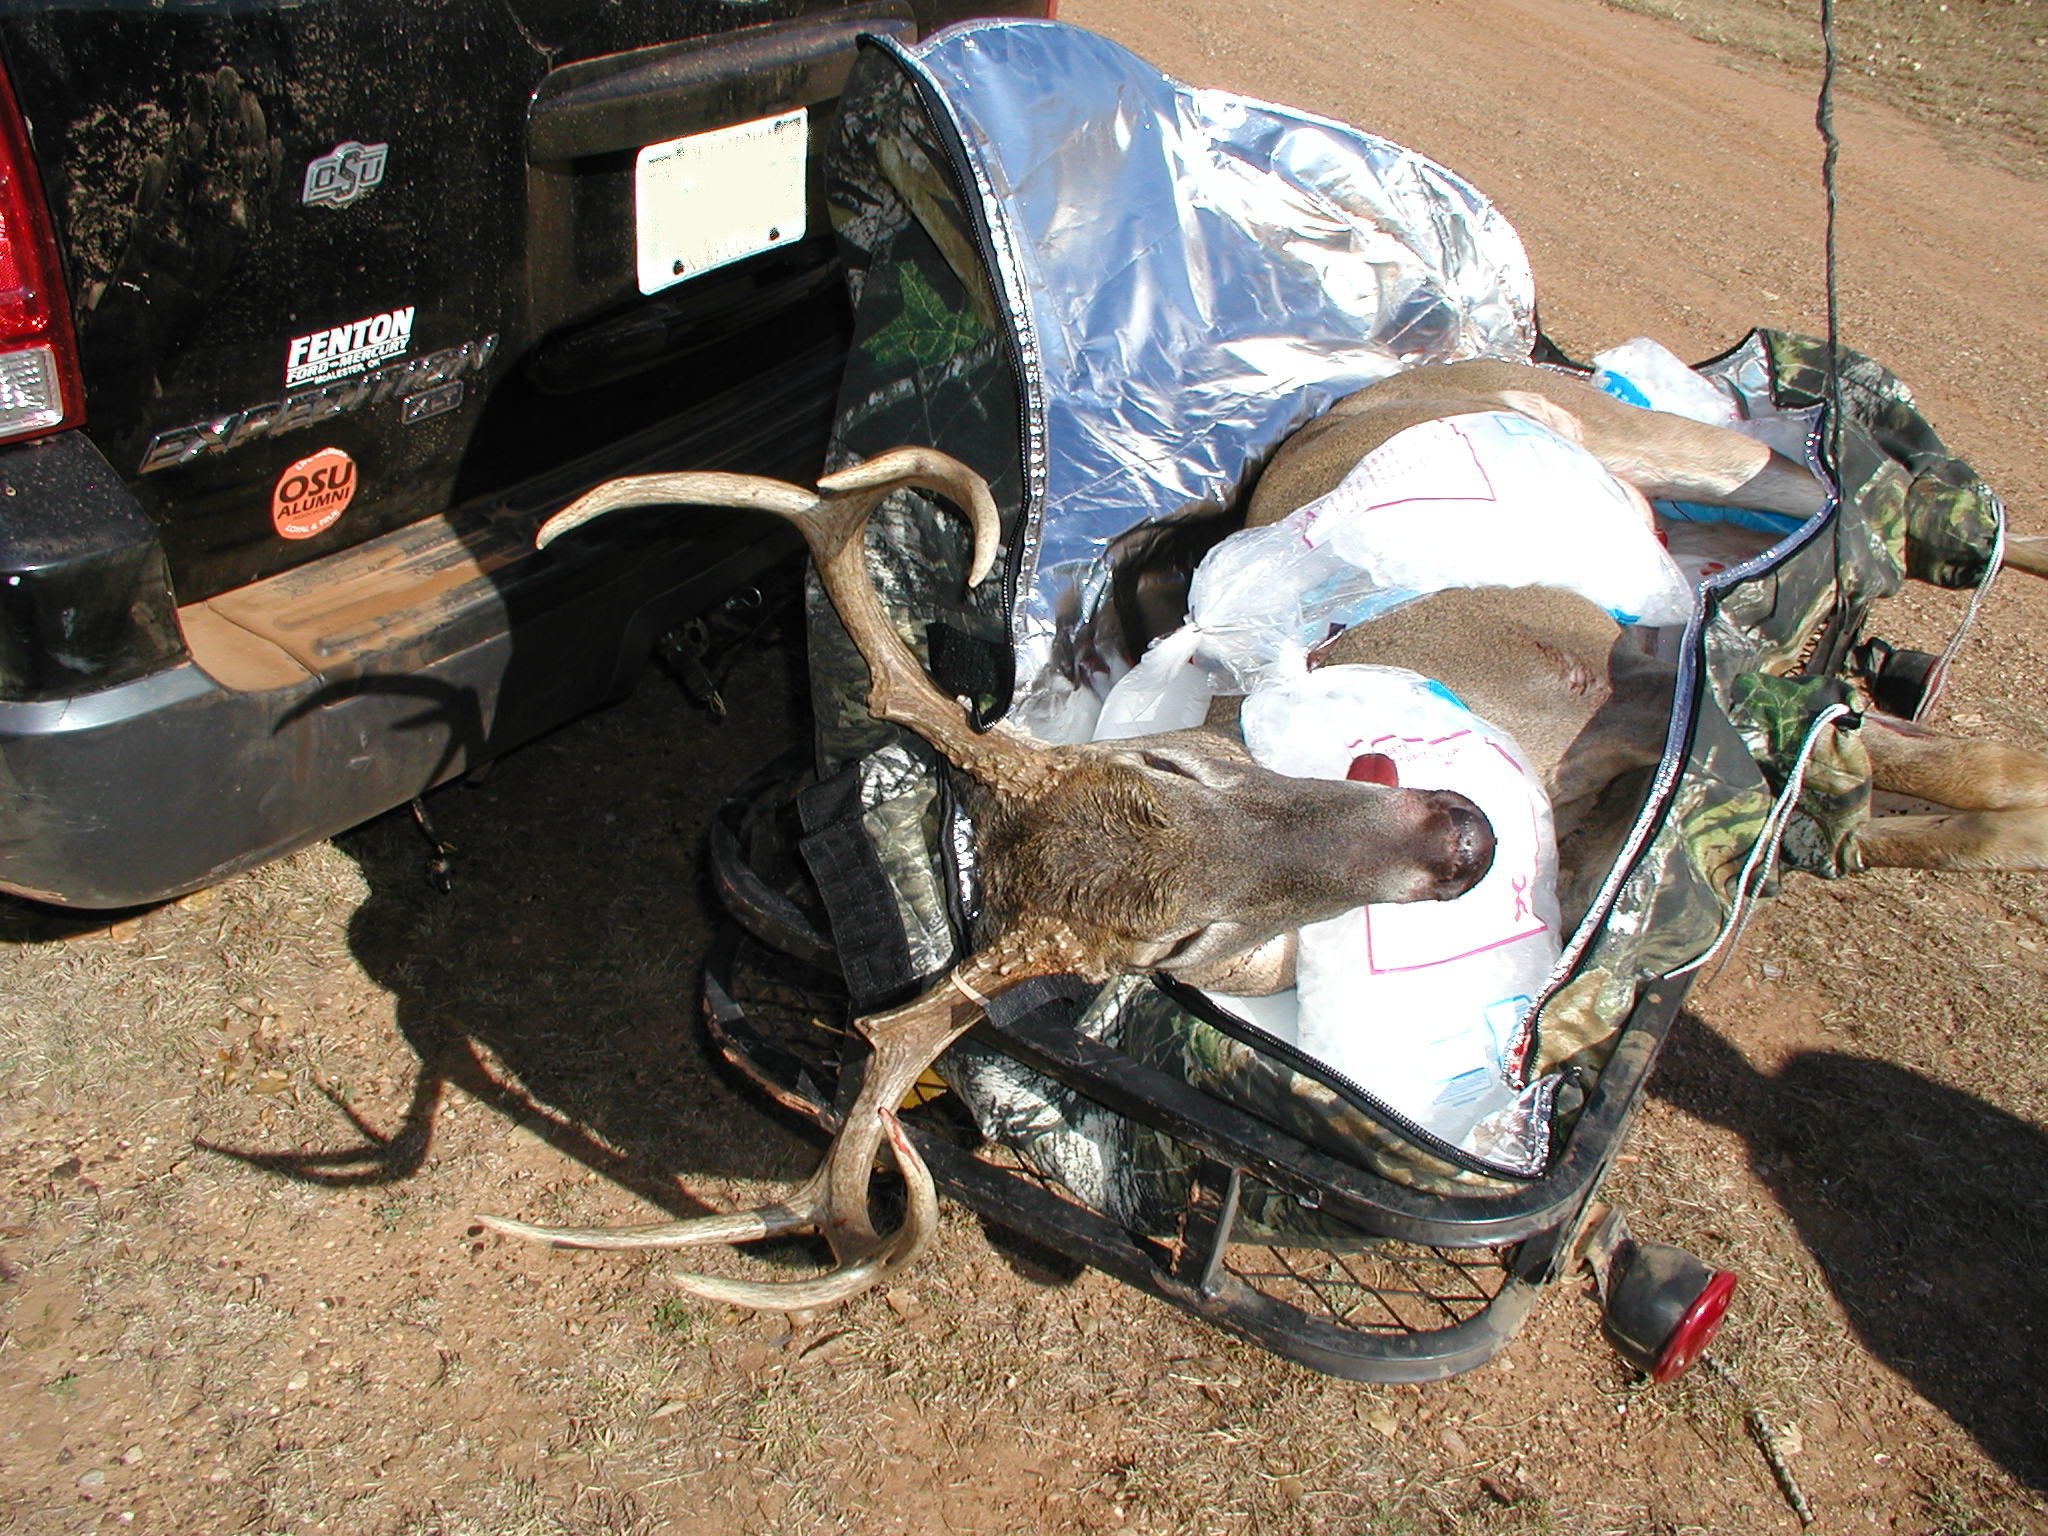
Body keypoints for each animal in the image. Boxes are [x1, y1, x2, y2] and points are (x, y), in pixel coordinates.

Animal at [481, 360, 2048, 1311]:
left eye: (1180, 763)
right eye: (1179, 941)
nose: (1459, 837)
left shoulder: (1620, 667)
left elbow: (1901, 759)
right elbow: (1868, 795)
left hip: (1660, 453)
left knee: (1823, 475)